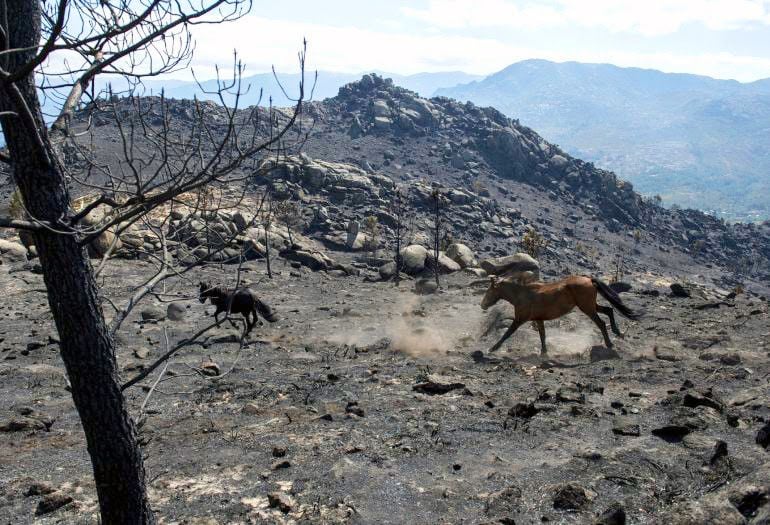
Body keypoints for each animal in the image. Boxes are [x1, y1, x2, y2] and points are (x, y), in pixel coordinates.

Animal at [480, 274, 636, 352]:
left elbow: (507, 333)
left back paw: (609, 343)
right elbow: (542, 335)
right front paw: (544, 352)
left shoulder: (519, 319)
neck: (522, 294)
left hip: (587, 308)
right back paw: (618, 332)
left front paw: (493, 348)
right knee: (609, 310)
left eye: (489, 291)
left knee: (601, 323)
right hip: (591, 306)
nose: (482, 305)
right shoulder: (539, 319)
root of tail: (589, 279)